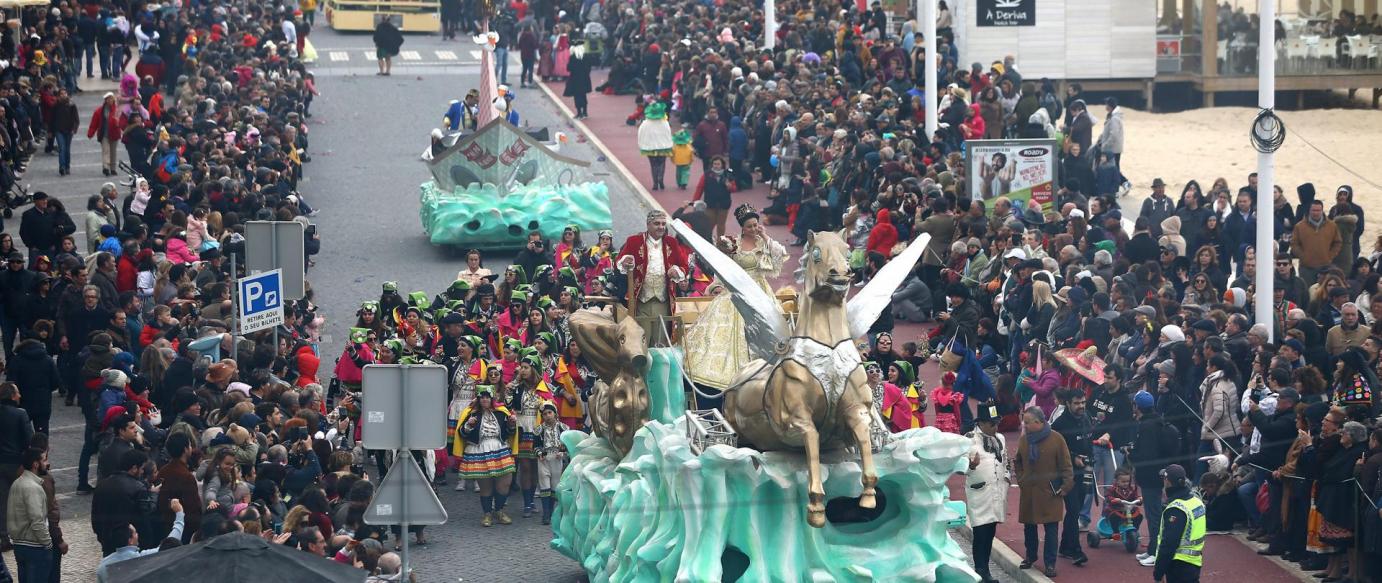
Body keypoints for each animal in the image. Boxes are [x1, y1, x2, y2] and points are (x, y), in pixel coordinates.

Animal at [668, 219, 928, 527]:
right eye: (815, 253)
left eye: (847, 249)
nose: (842, 274)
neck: (828, 351)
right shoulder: (794, 420)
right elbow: (813, 443)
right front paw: (816, 507)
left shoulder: (856, 410)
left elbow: (864, 439)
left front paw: (868, 495)